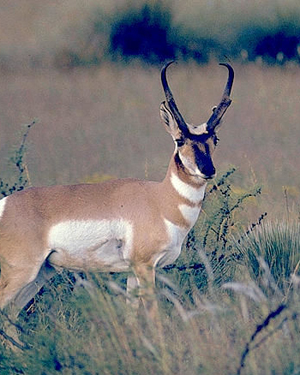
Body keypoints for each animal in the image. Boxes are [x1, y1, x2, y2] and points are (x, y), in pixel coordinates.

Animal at [0, 63, 234, 324]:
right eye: (179, 140)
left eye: (215, 138)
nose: (208, 170)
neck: (160, 200)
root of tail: (5, 205)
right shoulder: (145, 266)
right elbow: (153, 315)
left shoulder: (132, 271)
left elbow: (131, 315)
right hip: (22, 271)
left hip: (40, 273)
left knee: (10, 313)